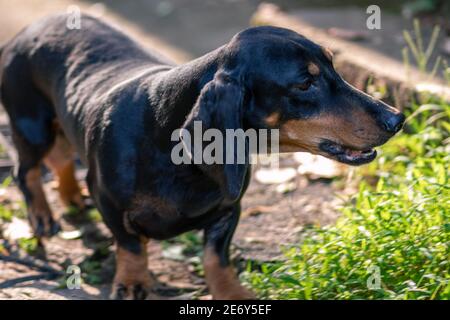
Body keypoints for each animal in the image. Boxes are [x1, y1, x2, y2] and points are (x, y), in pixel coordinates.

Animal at [0, 14, 404, 300]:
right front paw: (132, 283)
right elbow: (130, 246)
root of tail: (29, 29)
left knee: (61, 160)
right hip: (32, 126)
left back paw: (70, 198)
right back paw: (42, 216)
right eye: (305, 83)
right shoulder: (109, 201)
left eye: (334, 65)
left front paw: (231, 292)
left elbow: (215, 259)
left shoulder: (228, 210)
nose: (396, 119)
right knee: (27, 170)